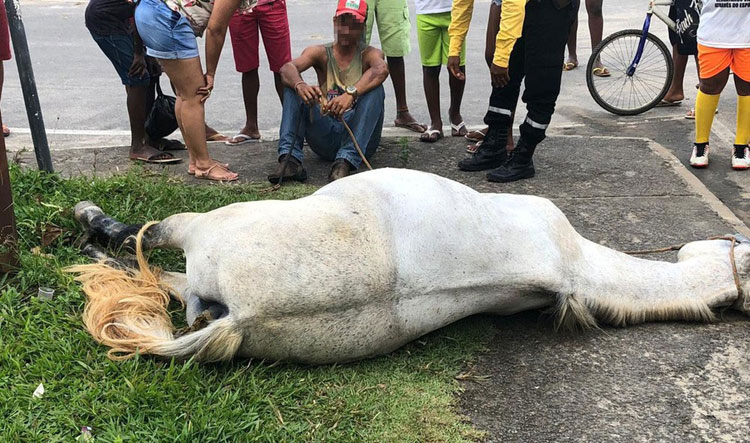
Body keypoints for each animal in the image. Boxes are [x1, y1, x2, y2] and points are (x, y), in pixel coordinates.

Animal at [68, 168, 750, 364]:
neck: (572, 265)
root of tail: (245, 317)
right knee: (170, 287)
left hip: (209, 226)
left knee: (152, 245)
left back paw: (91, 230)